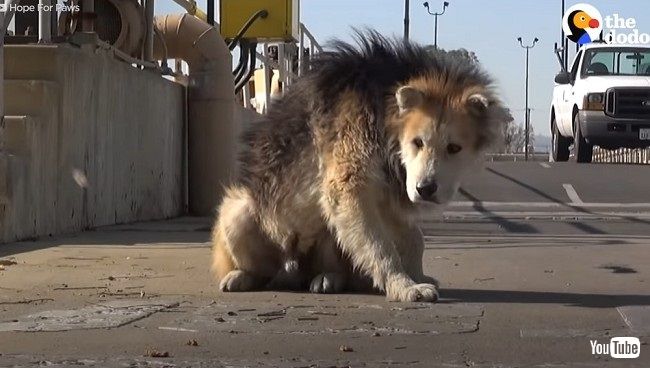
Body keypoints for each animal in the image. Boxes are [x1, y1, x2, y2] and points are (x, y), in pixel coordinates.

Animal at [211, 31, 502, 302]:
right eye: (417, 142)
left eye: (454, 148)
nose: (425, 189)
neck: (384, 107)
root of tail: (292, 273)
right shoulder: (349, 184)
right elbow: (381, 248)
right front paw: (403, 286)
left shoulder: (383, 196)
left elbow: (414, 238)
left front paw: (417, 276)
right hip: (240, 211)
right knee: (261, 267)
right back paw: (241, 276)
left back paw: (328, 278)